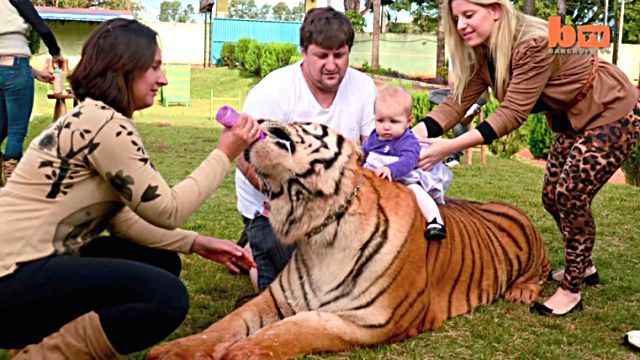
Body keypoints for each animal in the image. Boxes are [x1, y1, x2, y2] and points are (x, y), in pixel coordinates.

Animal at [149, 121, 552, 360]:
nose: (259, 120)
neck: (318, 224)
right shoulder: (277, 298)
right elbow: (226, 325)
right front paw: (172, 350)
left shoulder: (370, 319)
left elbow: (294, 330)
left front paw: (240, 352)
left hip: (534, 252)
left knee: (541, 273)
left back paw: (522, 292)